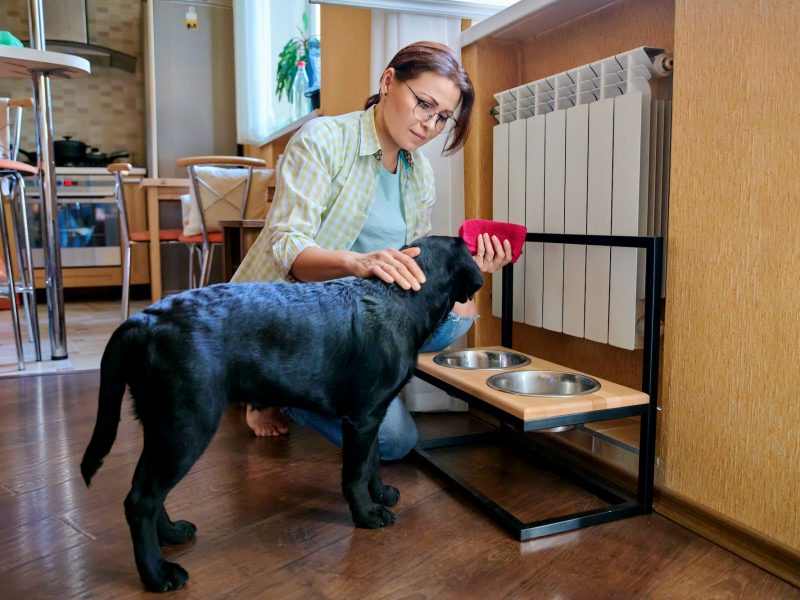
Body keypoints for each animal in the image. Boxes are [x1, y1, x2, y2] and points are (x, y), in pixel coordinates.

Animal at [79, 234, 482, 592]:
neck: (400, 298)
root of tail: (142, 320)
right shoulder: (362, 417)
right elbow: (355, 473)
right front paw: (366, 515)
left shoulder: (372, 415)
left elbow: (373, 461)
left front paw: (379, 495)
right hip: (187, 424)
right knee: (141, 500)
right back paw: (157, 574)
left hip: (162, 424)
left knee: (147, 490)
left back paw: (170, 534)